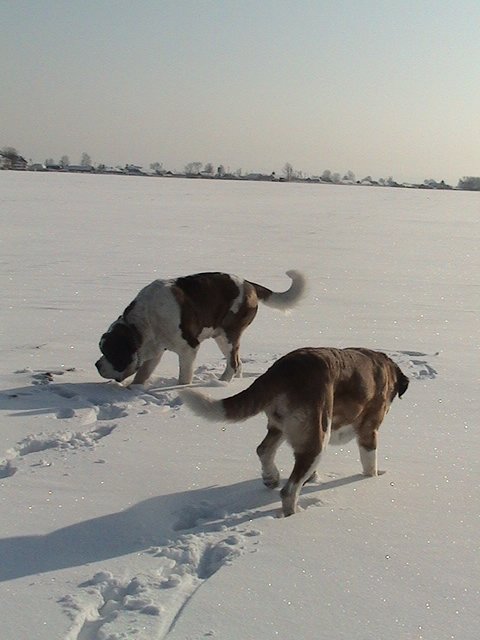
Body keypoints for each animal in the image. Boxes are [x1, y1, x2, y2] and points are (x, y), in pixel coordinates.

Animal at [95, 270, 306, 384]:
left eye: (109, 352)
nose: (97, 364)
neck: (145, 321)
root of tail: (248, 284)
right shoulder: (155, 350)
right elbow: (143, 373)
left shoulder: (188, 348)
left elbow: (184, 376)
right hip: (221, 336)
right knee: (237, 363)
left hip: (229, 335)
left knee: (233, 362)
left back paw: (220, 384)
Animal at [180, 348, 408, 516]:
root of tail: (283, 368)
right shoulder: (369, 430)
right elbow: (370, 464)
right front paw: (373, 478)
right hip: (317, 438)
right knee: (288, 490)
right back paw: (294, 513)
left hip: (280, 427)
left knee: (263, 450)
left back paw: (271, 478)